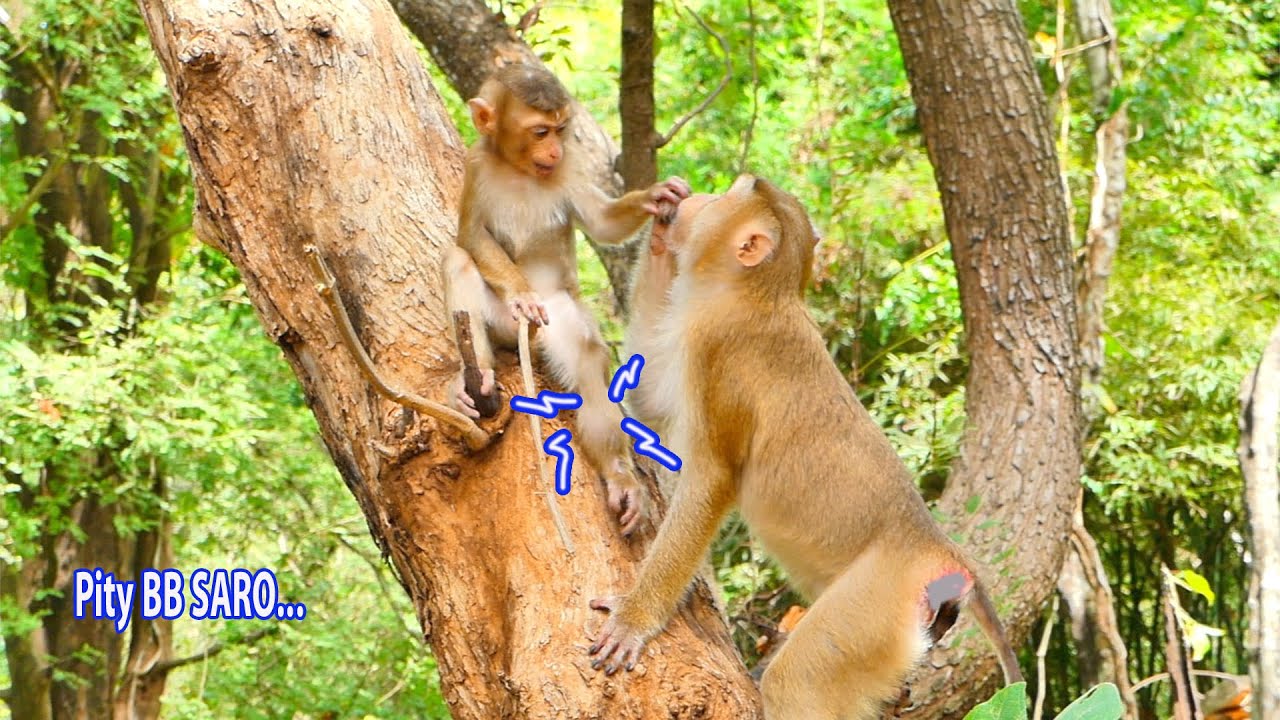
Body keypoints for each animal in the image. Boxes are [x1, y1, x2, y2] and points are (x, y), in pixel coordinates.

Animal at [443, 63, 690, 535]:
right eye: (540, 131)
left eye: (560, 129)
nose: (555, 150)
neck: (520, 170)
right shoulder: (476, 165)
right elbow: (470, 237)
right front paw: (521, 293)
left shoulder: (571, 169)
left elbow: (603, 223)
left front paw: (657, 196)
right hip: (500, 321)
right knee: (459, 263)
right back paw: (476, 380)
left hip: (559, 318)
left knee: (587, 358)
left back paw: (618, 476)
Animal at [588, 175, 1024, 719]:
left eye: (728, 194)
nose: (695, 199)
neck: (756, 294)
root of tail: (942, 552)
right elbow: (646, 399)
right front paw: (661, 216)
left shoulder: (718, 350)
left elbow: (712, 478)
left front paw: (634, 618)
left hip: (877, 602)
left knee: (800, 682)